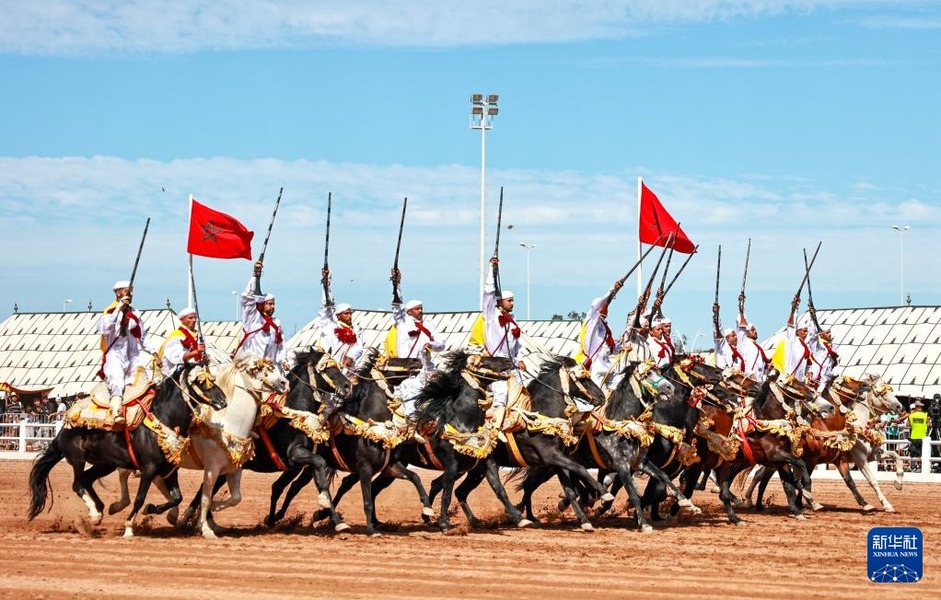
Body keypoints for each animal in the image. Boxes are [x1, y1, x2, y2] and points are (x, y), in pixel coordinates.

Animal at [27, 364, 226, 536]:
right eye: (200, 382)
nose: (223, 400)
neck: (164, 420)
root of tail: (63, 427)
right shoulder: (149, 469)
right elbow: (140, 498)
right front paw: (129, 527)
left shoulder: (170, 470)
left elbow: (177, 497)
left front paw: (150, 509)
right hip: (78, 459)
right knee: (78, 484)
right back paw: (94, 514)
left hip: (105, 464)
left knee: (87, 479)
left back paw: (101, 511)